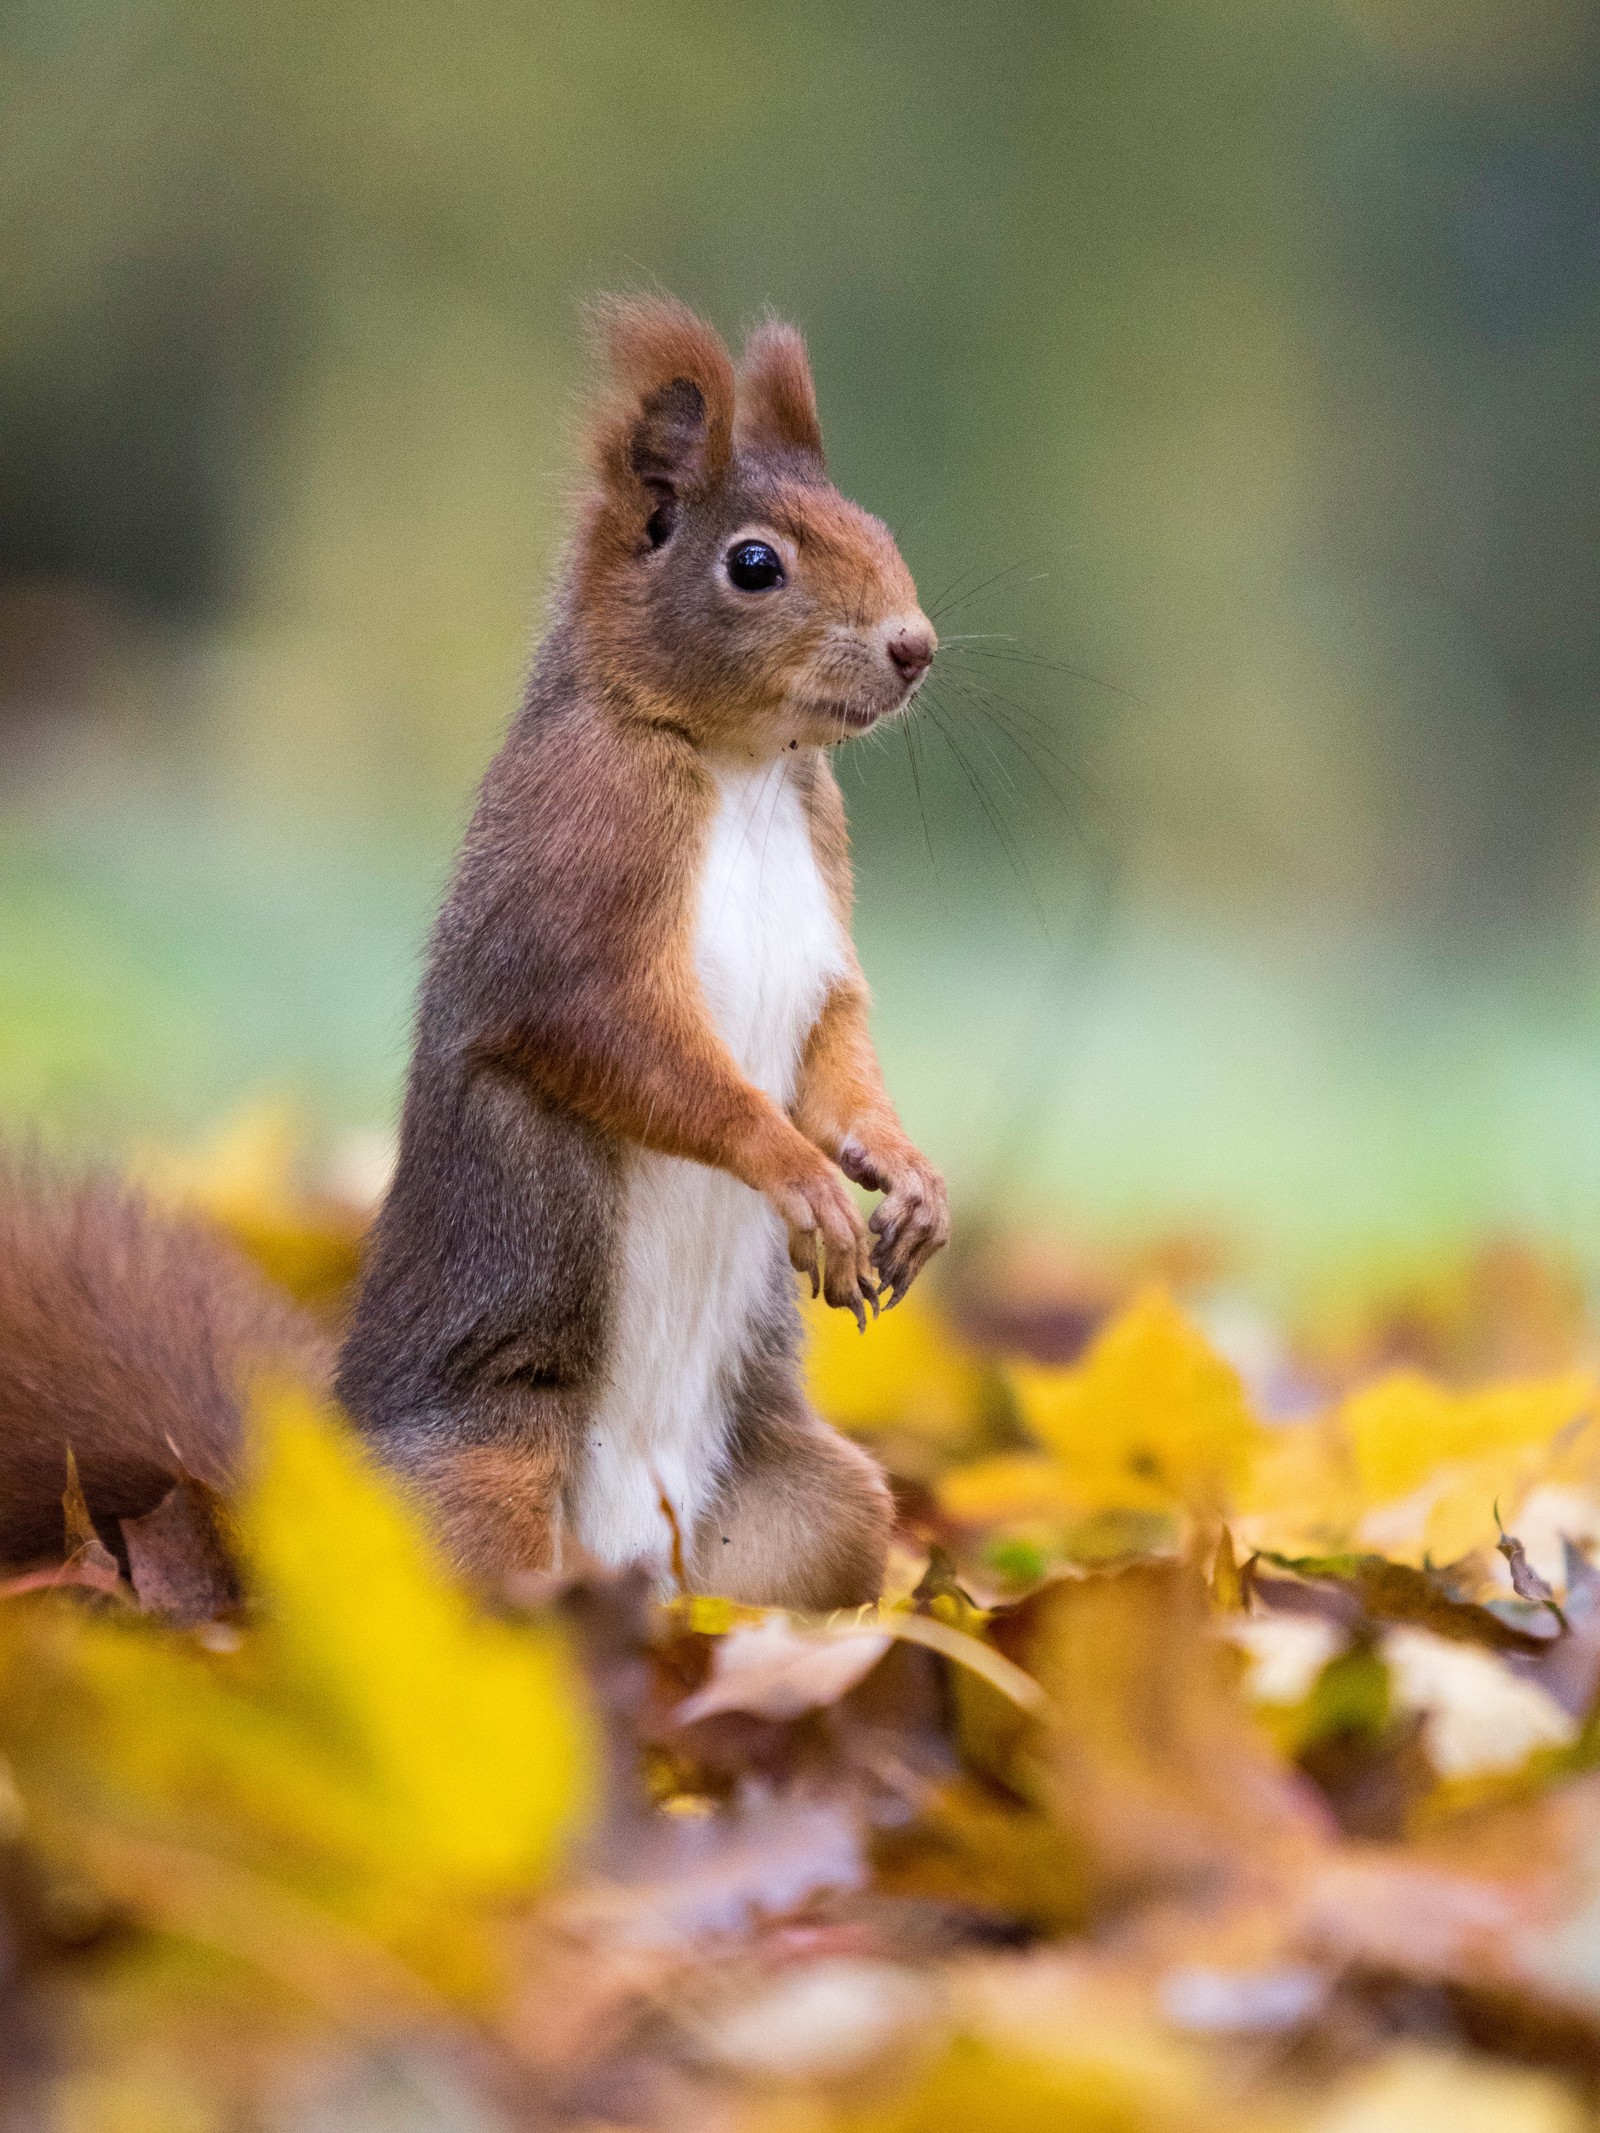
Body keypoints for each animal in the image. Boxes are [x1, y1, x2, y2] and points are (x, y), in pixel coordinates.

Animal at [0, 296, 951, 1604]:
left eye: (878, 525)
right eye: (754, 564)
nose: (915, 646)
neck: (745, 770)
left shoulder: (823, 915)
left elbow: (839, 1048)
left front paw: (903, 1174)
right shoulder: (577, 877)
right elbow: (620, 1042)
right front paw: (799, 1174)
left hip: (817, 1513)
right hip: (478, 1494)